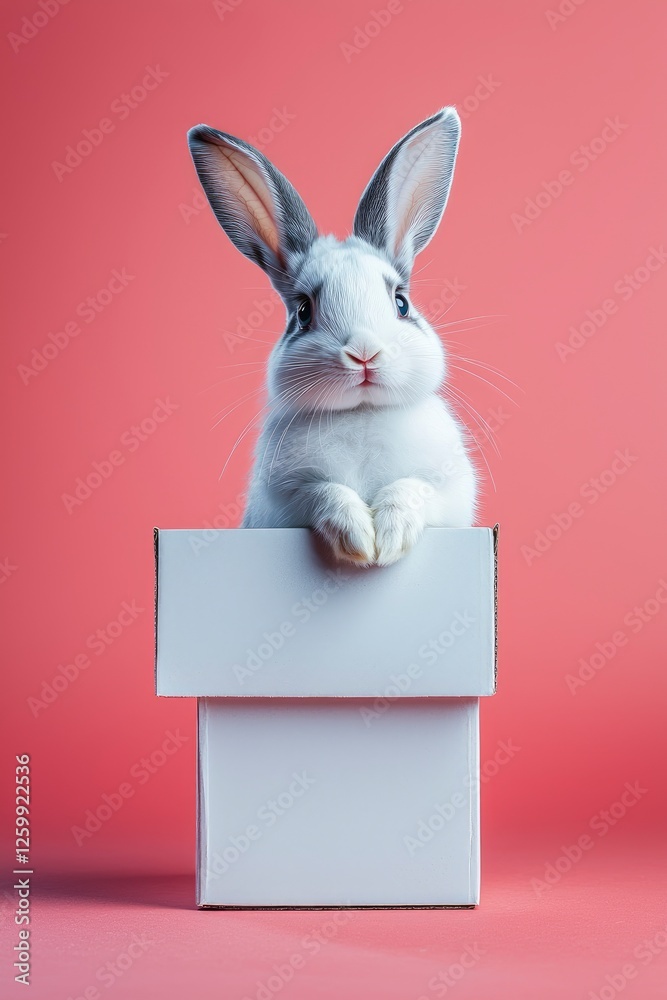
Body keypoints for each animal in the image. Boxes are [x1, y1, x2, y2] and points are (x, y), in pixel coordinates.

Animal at [188, 107, 477, 566]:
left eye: (401, 303)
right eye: (304, 312)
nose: (364, 354)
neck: (360, 413)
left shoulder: (450, 492)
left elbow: (412, 489)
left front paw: (389, 538)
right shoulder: (284, 501)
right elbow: (325, 491)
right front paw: (358, 538)